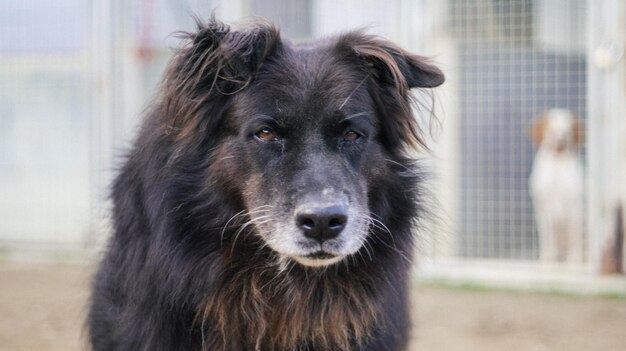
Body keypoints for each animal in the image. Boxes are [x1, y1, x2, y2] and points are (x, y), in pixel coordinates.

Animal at [528, 108, 584, 262]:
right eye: (550, 126)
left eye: (568, 128)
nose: (560, 138)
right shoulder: (543, 207)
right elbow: (548, 238)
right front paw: (548, 257)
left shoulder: (575, 205)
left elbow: (574, 237)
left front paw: (575, 259)